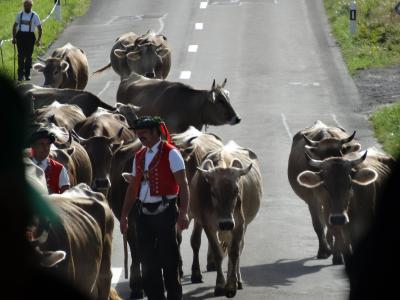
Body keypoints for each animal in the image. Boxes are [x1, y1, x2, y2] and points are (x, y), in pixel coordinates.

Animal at [191, 141, 262, 298]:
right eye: (213, 192)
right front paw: (219, 285)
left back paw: (238, 280)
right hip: (200, 222)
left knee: (237, 248)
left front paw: (230, 286)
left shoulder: (239, 224)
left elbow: (234, 252)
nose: (225, 223)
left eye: (236, 191)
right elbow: (218, 253)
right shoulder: (208, 225)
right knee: (196, 242)